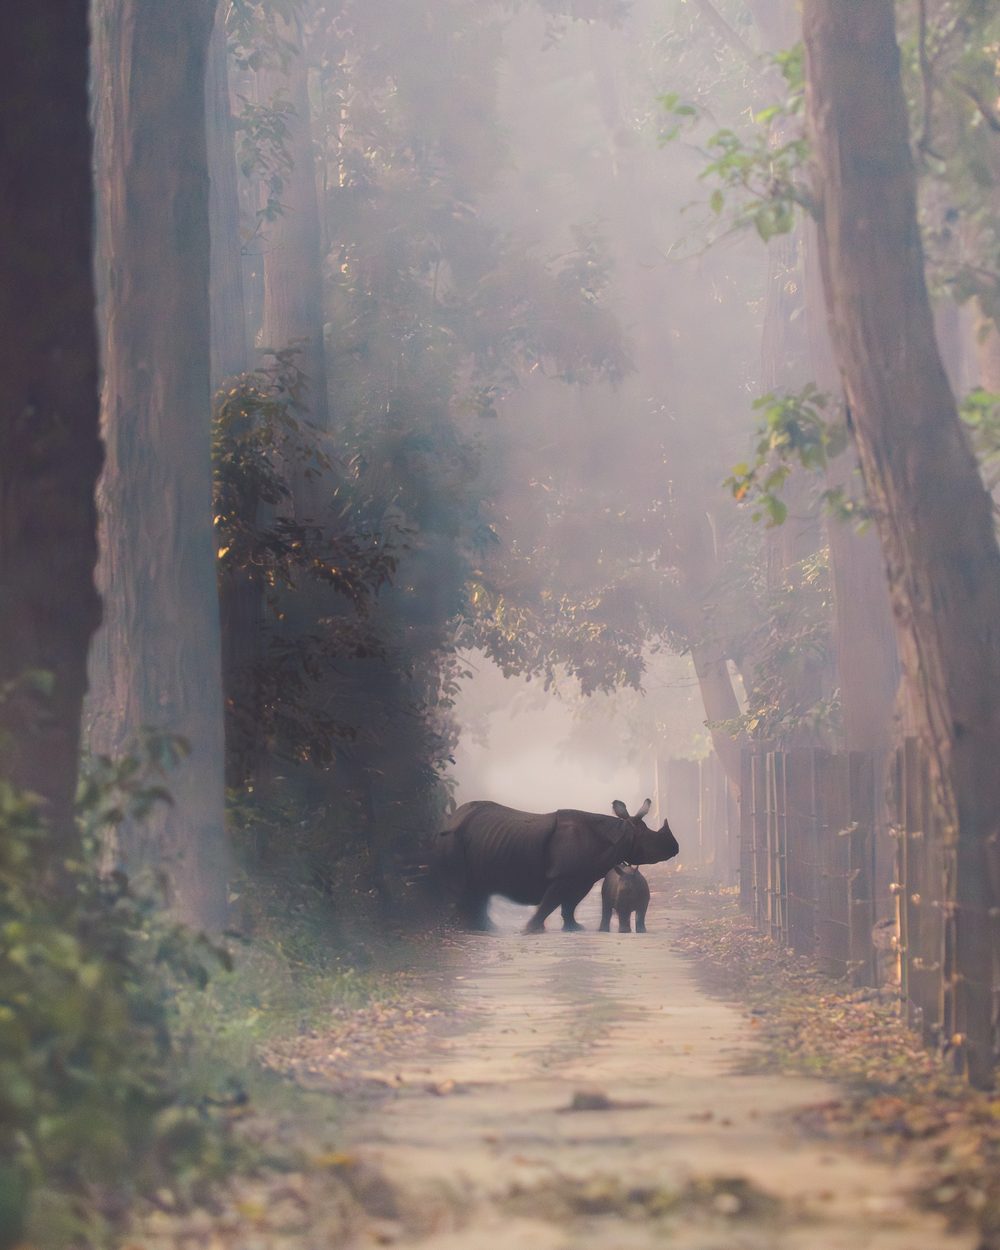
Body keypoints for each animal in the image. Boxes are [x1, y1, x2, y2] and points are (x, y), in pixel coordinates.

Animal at [437, 798, 678, 933]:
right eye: (652, 840)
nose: (675, 848)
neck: (621, 833)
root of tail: (452, 817)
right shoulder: (563, 875)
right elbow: (550, 902)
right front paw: (532, 929)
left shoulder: (582, 877)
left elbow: (568, 904)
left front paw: (574, 928)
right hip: (453, 838)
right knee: (465, 887)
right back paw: (472, 929)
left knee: (479, 888)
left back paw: (485, 928)